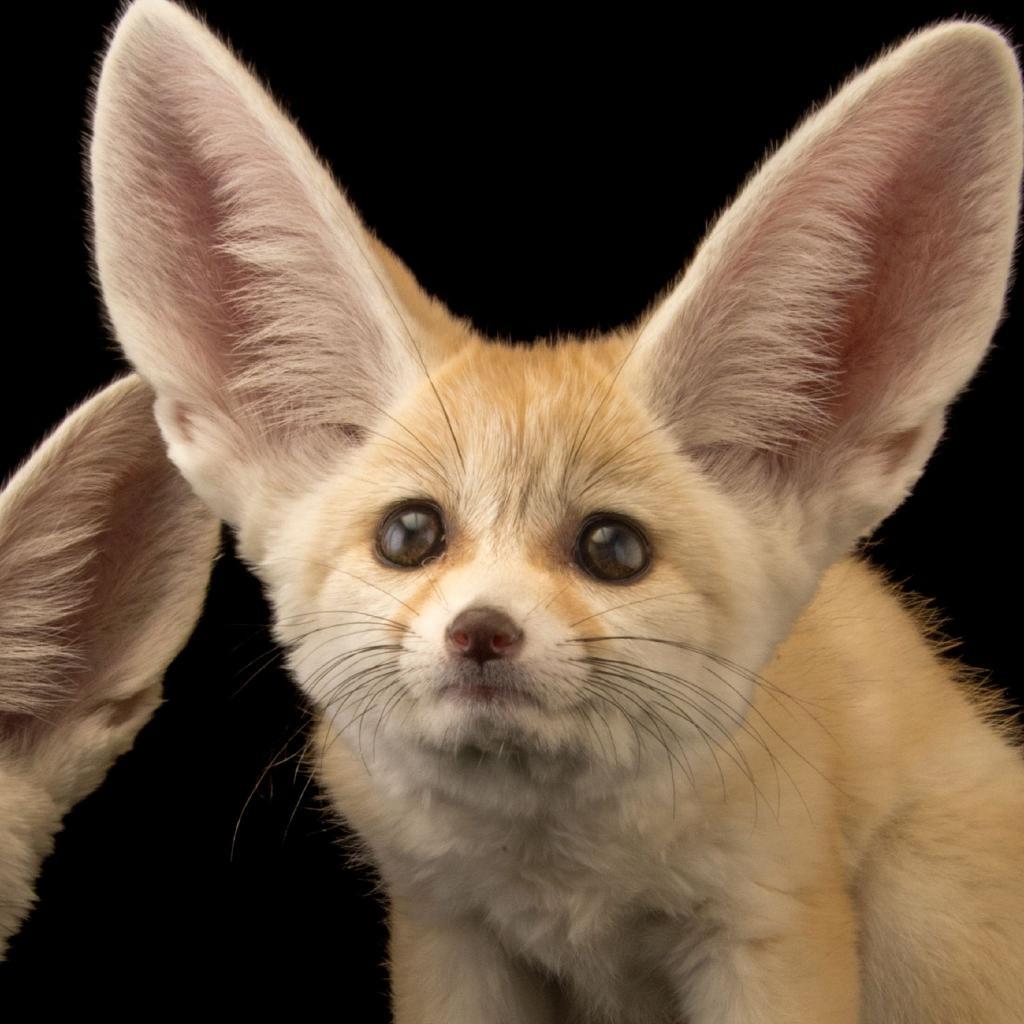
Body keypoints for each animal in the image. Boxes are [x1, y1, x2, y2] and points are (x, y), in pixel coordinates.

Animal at [18, 0, 1017, 1018]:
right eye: (410, 534)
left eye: (613, 549)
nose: (482, 630)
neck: (561, 883)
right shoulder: (447, 930)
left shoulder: (766, 924)